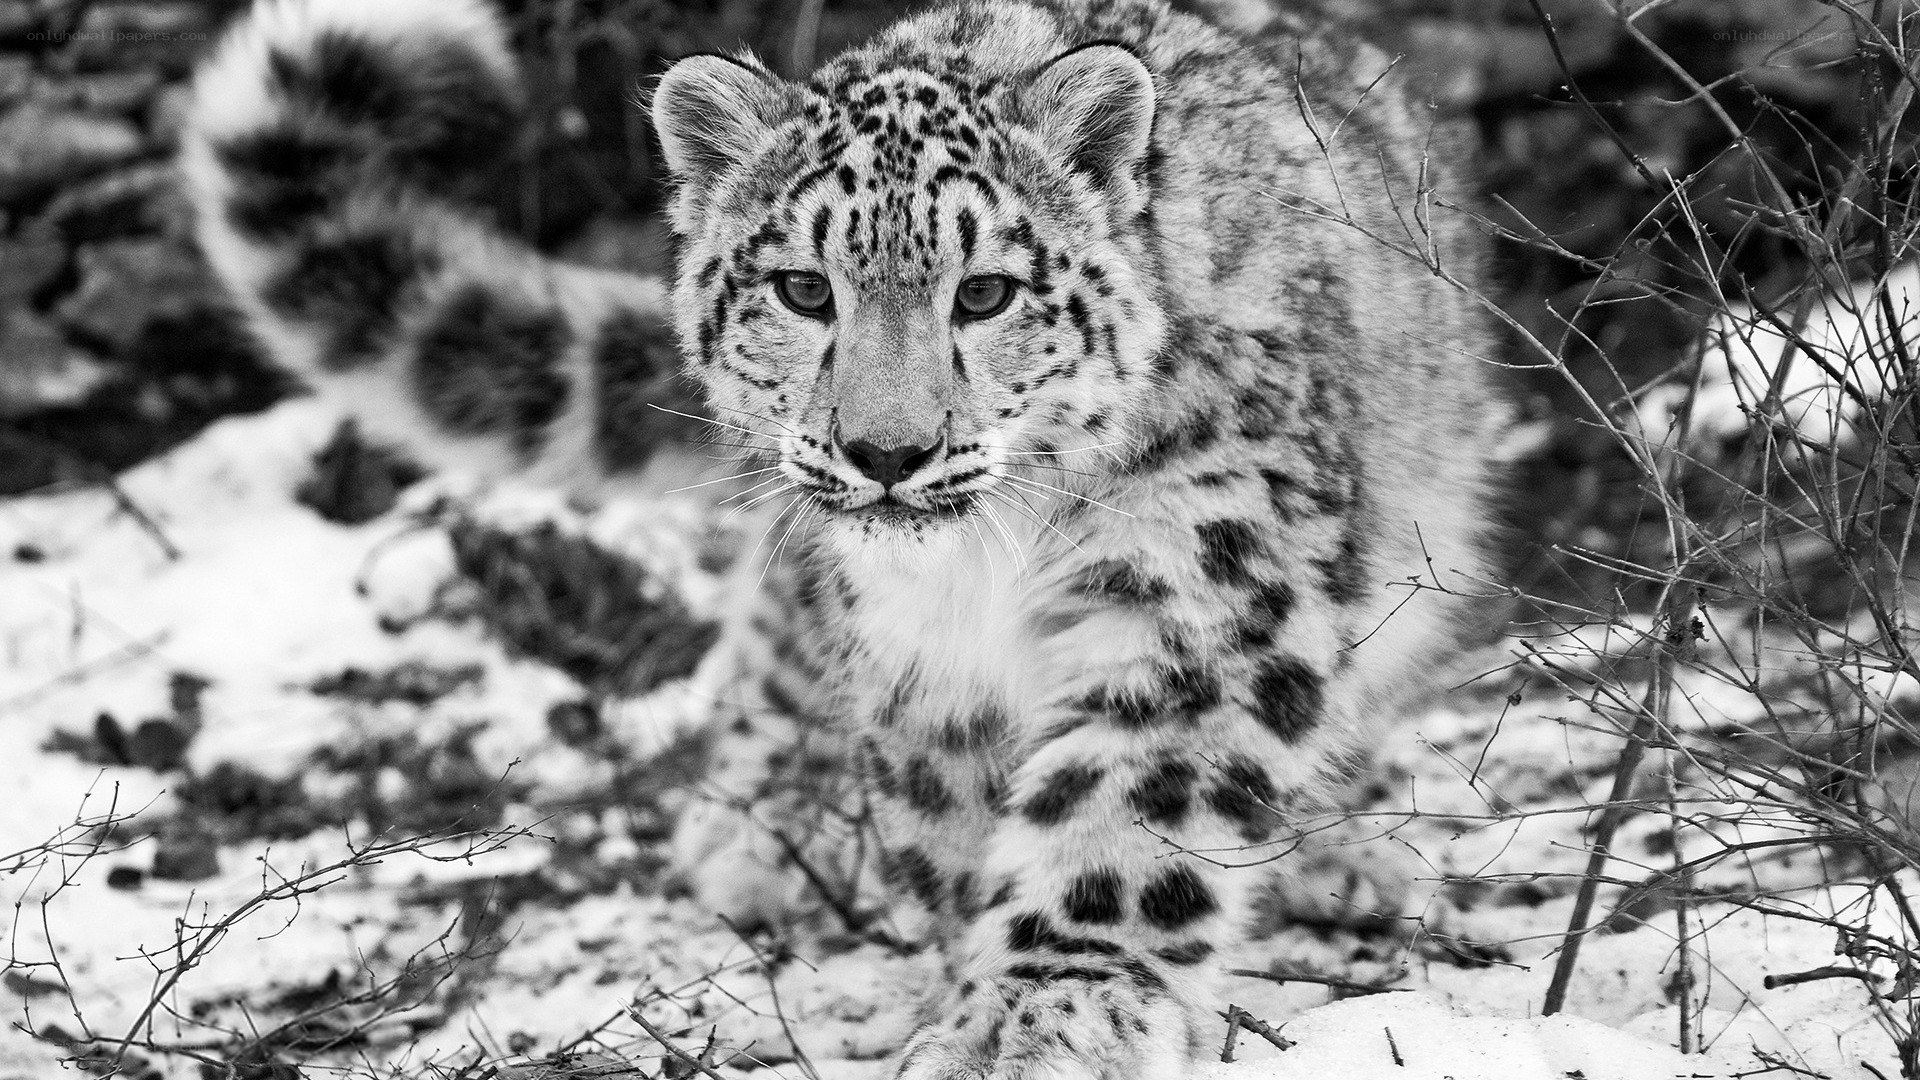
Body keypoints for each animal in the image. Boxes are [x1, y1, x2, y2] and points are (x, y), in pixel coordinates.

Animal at [179, 0, 1501, 1075]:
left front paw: (1042, 1017)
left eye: (987, 292)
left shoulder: (1196, 586)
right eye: (804, 289)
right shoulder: (921, 664)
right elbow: (957, 826)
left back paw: (1343, 860)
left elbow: (1127, 812)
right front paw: (969, 989)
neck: (987, 569)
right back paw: (761, 828)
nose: (885, 451)